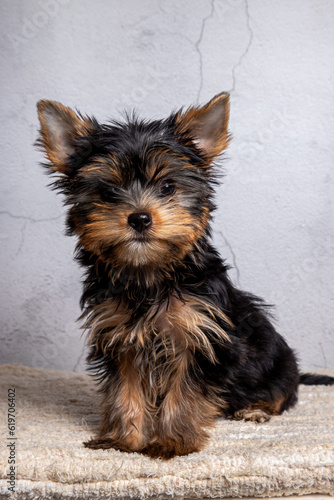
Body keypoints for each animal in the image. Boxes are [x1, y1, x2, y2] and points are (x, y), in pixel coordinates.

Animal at [37, 92, 334, 458]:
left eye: (168, 186)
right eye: (107, 192)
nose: (139, 218)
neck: (149, 274)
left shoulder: (198, 337)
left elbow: (184, 392)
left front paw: (172, 442)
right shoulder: (121, 337)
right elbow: (125, 389)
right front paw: (123, 440)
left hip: (277, 362)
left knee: (281, 393)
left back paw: (255, 408)